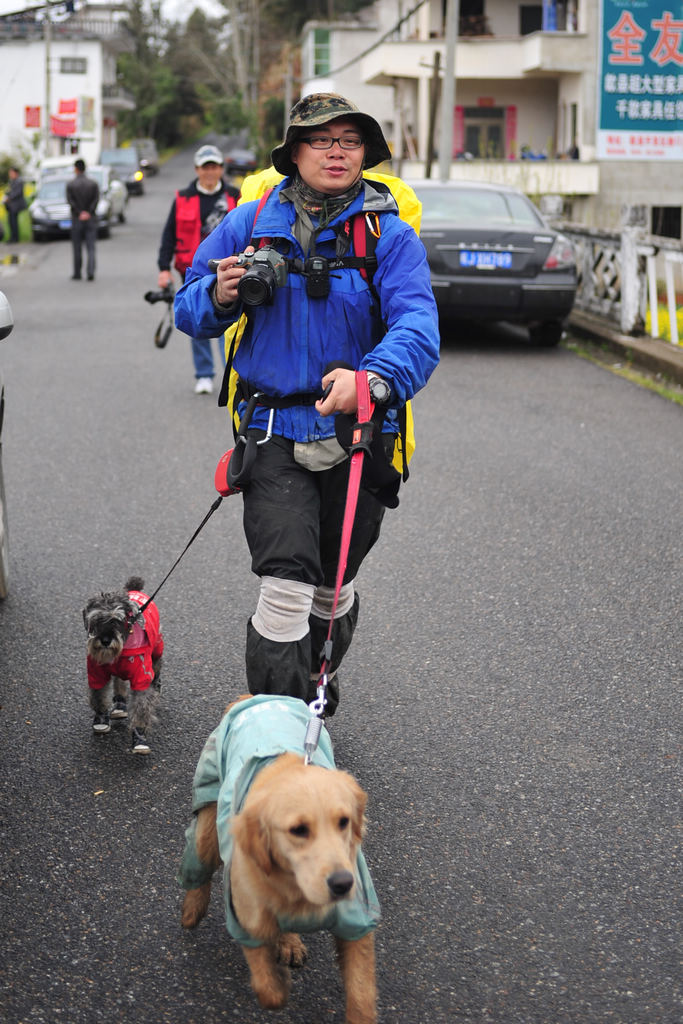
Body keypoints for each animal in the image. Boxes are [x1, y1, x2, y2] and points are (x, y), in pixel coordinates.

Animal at [81, 573, 162, 757]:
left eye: (117, 620)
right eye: (96, 619)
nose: (105, 640)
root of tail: (134, 589)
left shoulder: (141, 678)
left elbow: (141, 708)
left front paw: (139, 738)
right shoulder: (96, 673)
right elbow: (99, 696)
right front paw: (101, 719)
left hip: (157, 651)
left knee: (157, 670)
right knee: (119, 681)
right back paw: (119, 703)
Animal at [178, 696, 378, 1024]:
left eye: (344, 822)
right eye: (298, 830)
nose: (342, 883)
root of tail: (257, 697)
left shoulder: (357, 921)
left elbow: (361, 994)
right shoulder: (247, 916)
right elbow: (268, 989)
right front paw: (279, 981)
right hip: (208, 816)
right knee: (199, 864)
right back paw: (192, 910)